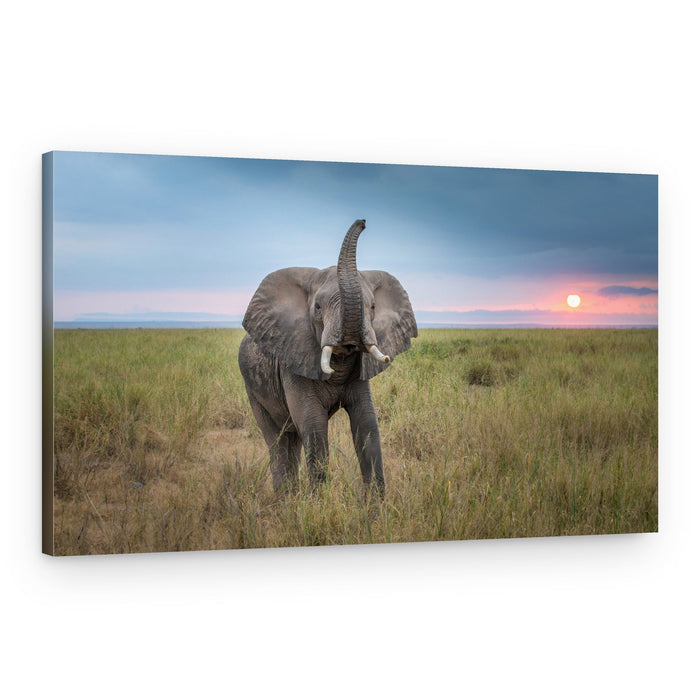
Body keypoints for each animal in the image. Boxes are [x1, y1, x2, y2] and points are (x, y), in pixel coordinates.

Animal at [238, 219, 417, 496]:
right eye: (318, 308)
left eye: (373, 307)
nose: (363, 222)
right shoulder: (293, 359)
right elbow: (314, 425)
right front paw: (318, 503)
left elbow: (367, 422)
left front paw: (376, 506)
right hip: (252, 389)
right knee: (277, 440)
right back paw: (284, 500)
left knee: (293, 439)